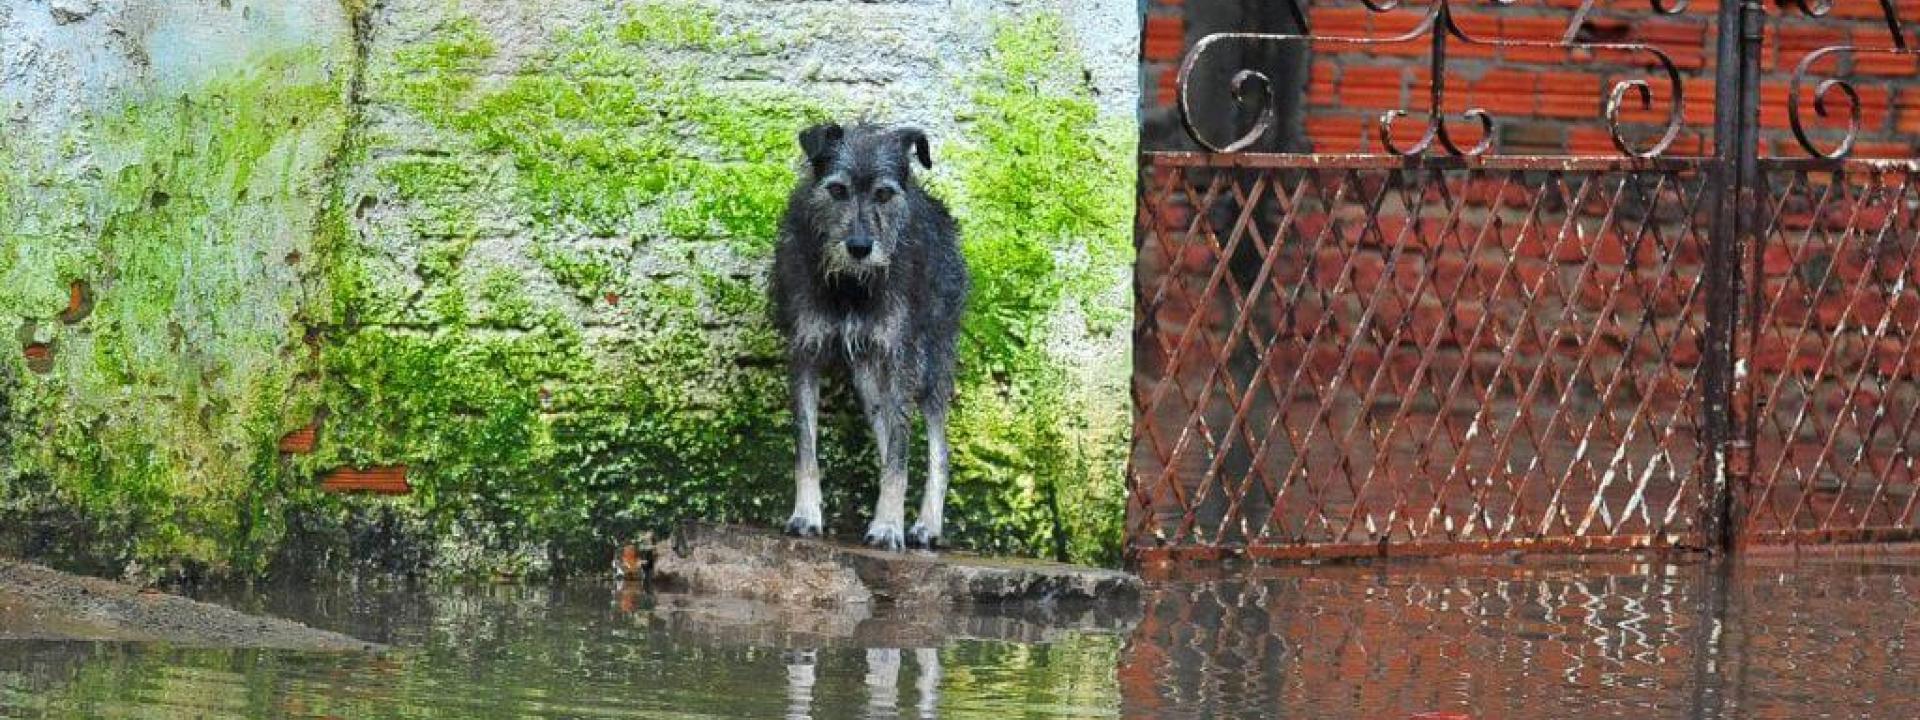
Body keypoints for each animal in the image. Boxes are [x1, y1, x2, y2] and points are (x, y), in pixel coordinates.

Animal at [768, 123, 967, 552]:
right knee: (888, 435)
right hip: (868, 380)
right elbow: (806, 448)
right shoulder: (805, 353)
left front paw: (888, 526)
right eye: (837, 189)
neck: (850, 285)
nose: (859, 248)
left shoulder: (899, 358)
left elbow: (902, 455)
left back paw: (926, 525)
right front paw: (806, 514)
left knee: (937, 450)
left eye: (884, 194)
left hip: (929, 365)